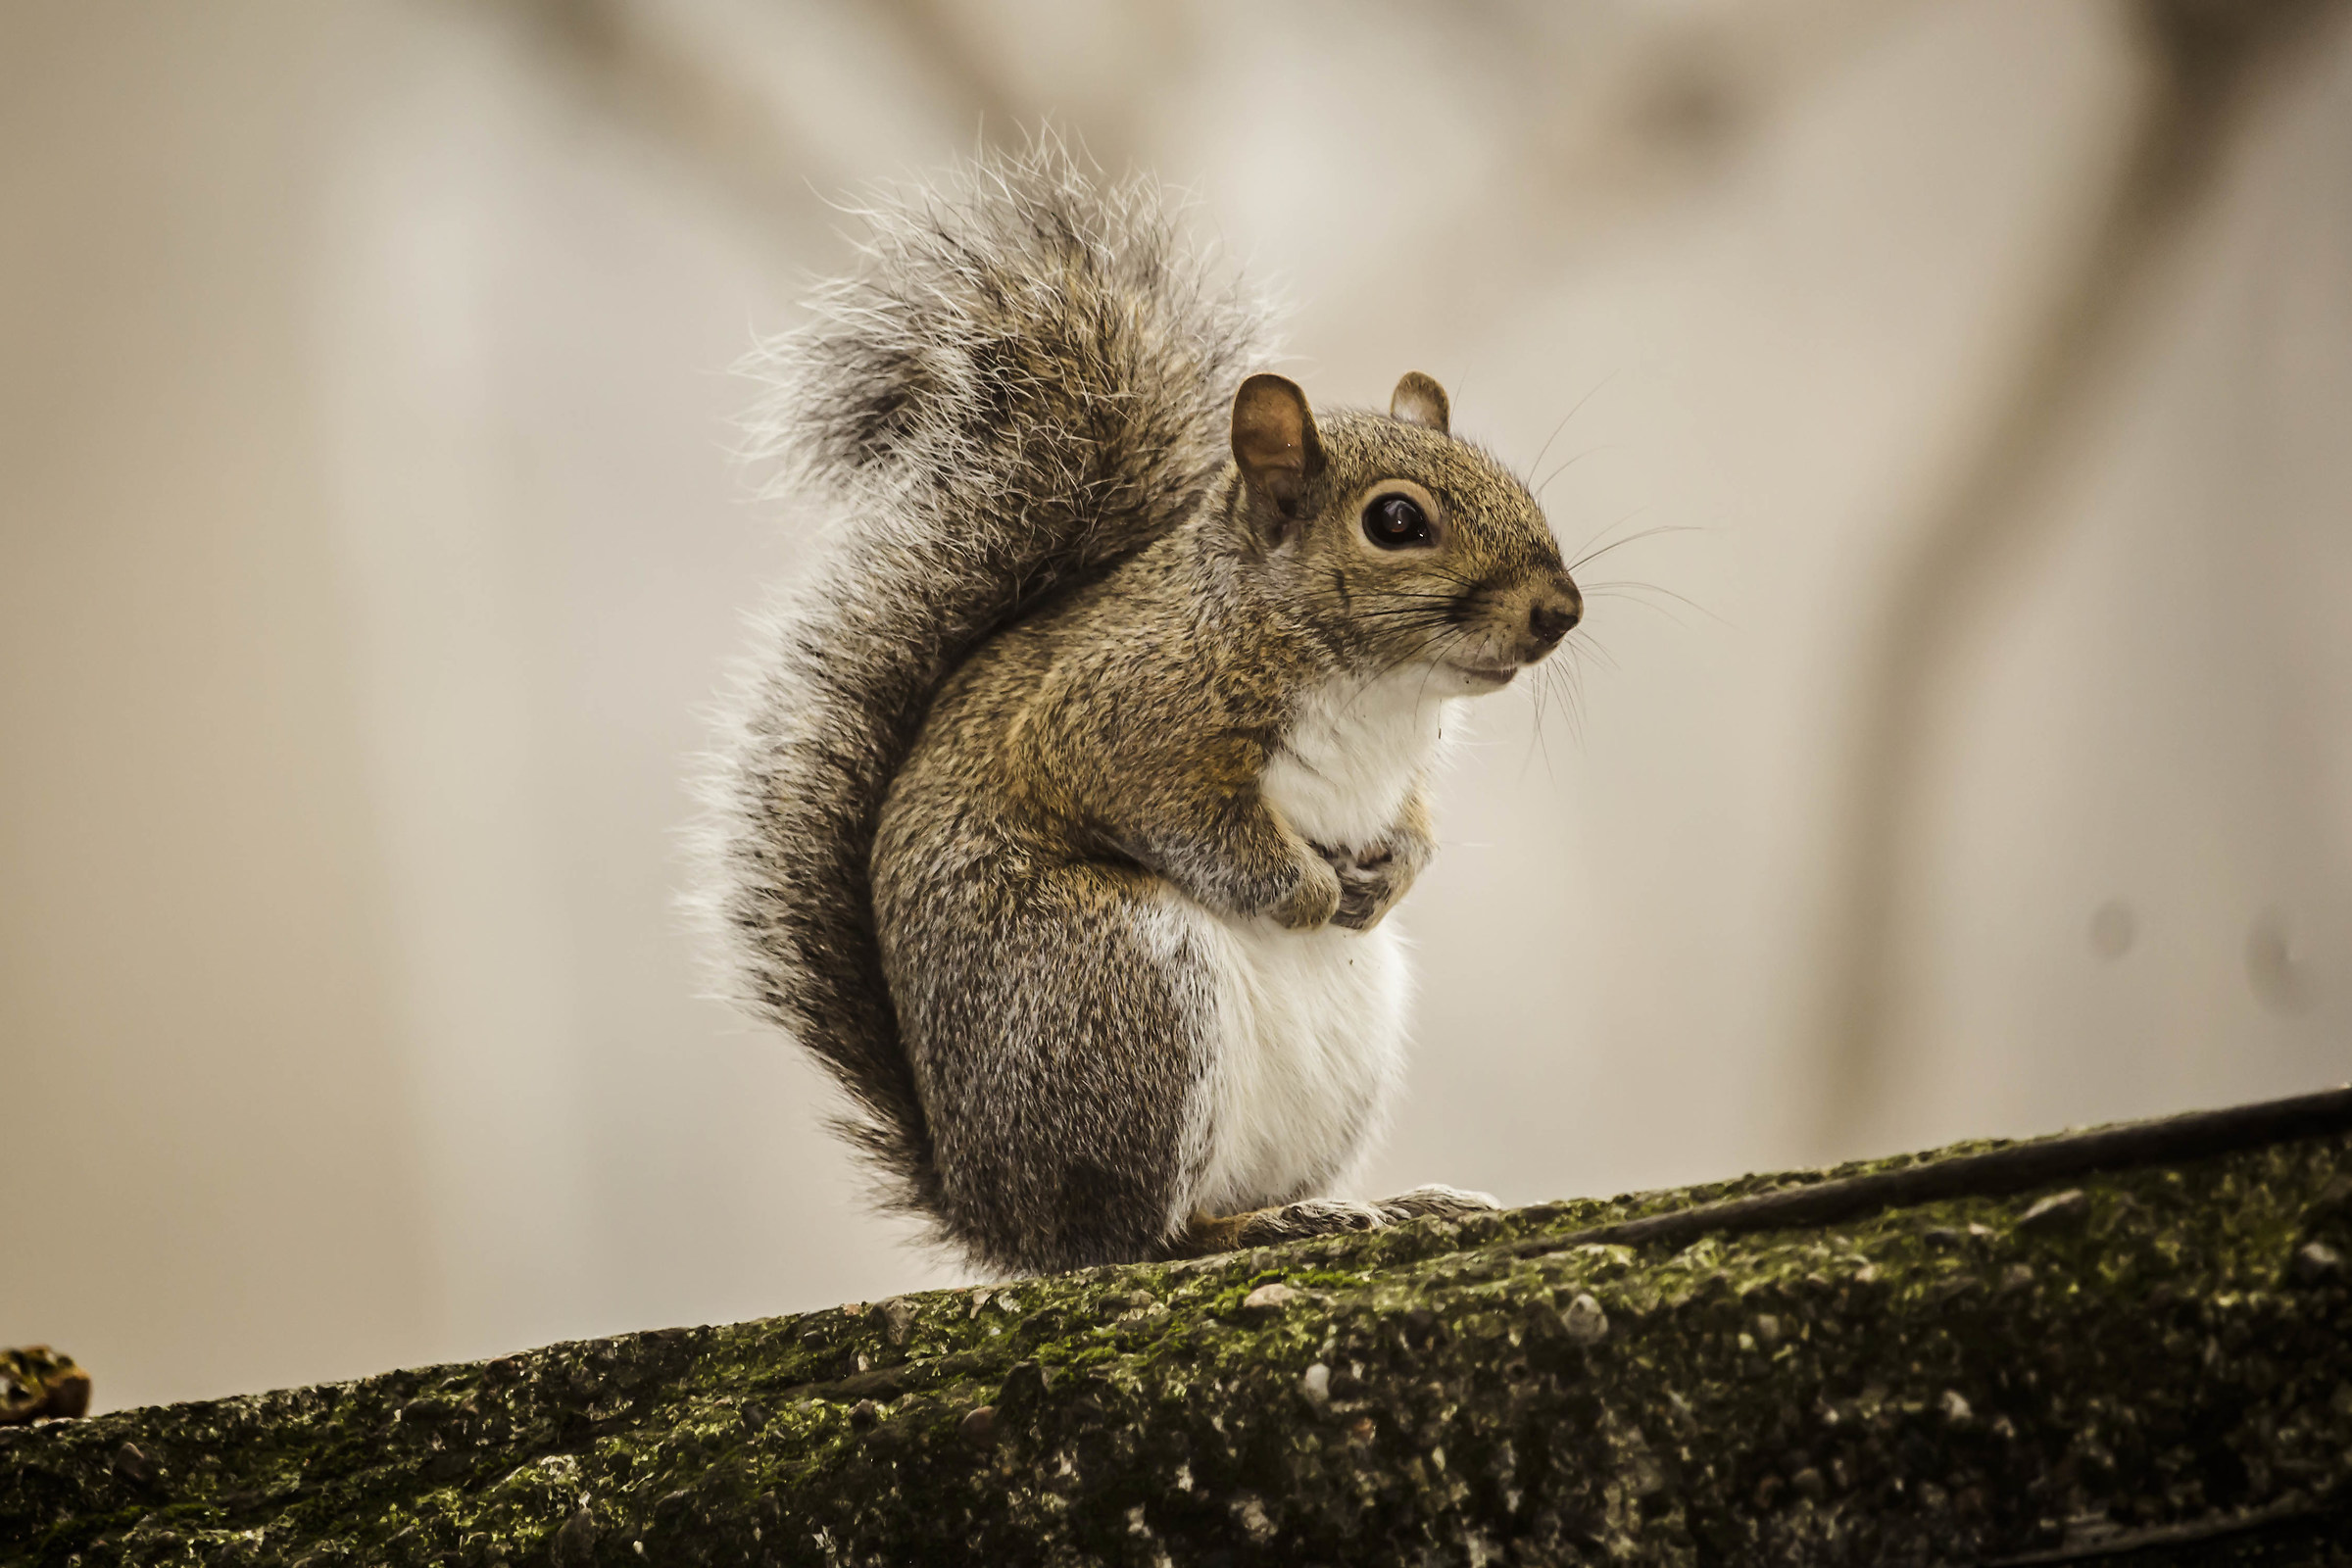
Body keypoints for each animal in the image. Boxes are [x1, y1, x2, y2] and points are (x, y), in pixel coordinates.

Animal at [705, 147, 1582, 1277]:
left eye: (1512, 480)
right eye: (1397, 521)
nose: (1560, 611)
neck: (1377, 685)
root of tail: (1001, 1218)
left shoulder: (1401, 771)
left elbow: (1416, 821)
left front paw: (1395, 874)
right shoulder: (1120, 719)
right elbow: (1191, 819)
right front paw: (1305, 891)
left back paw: (1377, 1205)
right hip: (1121, 995)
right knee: (1146, 1236)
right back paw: (1262, 1225)